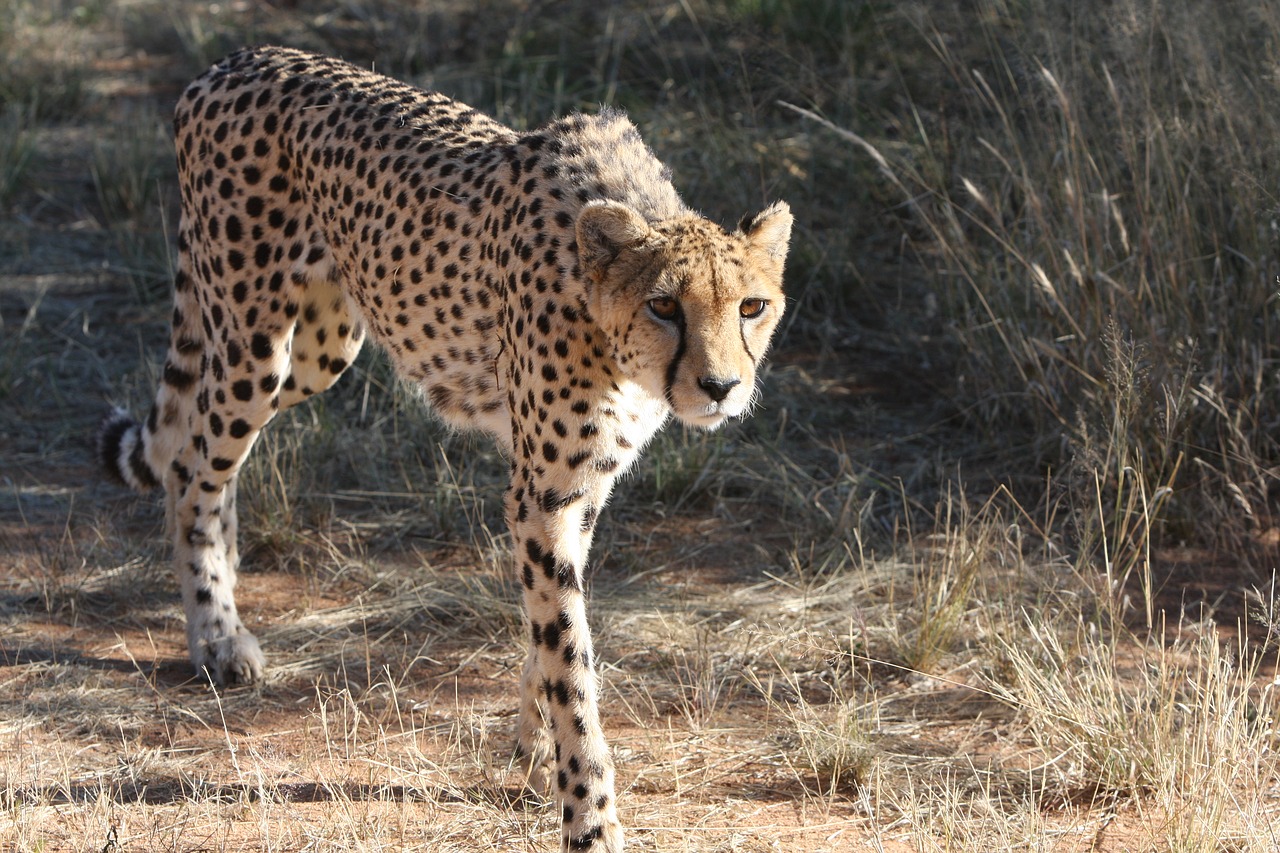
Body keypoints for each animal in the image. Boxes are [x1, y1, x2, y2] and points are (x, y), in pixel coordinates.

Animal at [102, 48, 788, 850]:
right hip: (252, 341)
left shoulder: (578, 486)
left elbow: (552, 628)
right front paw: (588, 812)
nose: (720, 386)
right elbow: (570, 654)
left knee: (211, 451)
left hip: (321, 347)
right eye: (664, 306)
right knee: (191, 465)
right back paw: (215, 634)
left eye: (752, 306)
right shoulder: (543, 492)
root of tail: (240, 59)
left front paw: (535, 747)